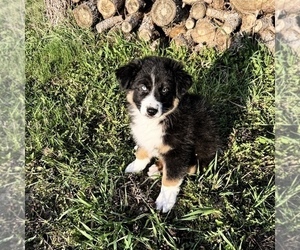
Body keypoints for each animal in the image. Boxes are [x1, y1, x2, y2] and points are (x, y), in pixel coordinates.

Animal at [116, 55, 219, 212]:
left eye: (165, 89)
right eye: (143, 87)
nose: (151, 110)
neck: (159, 120)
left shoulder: (178, 150)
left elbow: (171, 177)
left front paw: (165, 201)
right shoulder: (145, 137)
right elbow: (142, 151)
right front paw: (135, 166)